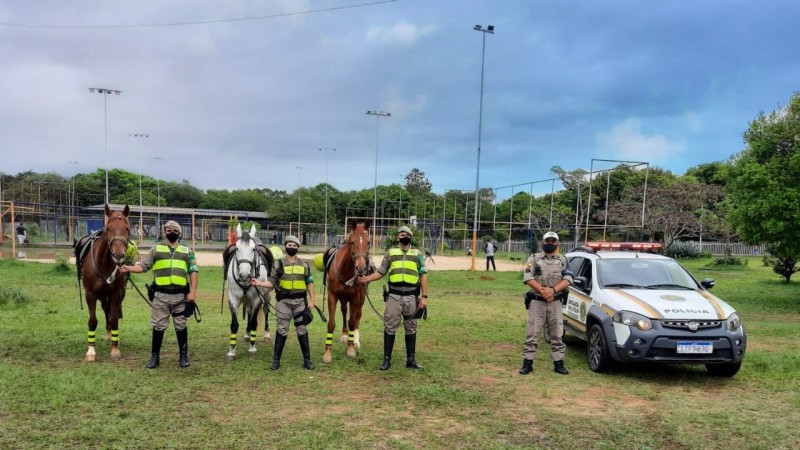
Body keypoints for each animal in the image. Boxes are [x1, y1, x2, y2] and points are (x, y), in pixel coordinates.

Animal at [76, 204, 131, 362]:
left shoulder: (116, 294)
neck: (104, 264)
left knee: (109, 311)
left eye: (127, 228)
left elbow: (114, 319)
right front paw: (91, 351)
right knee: (105, 309)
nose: (118, 255)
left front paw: (115, 349)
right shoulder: (90, 294)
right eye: (108, 229)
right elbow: (92, 321)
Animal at [227, 223, 274, 360]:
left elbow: (254, 322)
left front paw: (252, 349)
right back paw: (248, 334)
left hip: (267, 295)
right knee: (248, 311)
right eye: (237, 248)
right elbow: (234, 324)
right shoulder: (233, 298)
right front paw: (231, 351)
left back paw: (266, 334)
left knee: (266, 310)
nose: (244, 274)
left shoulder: (257, 299)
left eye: (253, 249)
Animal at [322, 218, 372, 362]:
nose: (361, 268)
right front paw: (327, 353)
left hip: (361, 297)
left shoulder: (355, 297)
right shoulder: (332, 295)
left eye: (368, 242)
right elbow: (331, 323)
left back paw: (355, 339)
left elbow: (352, 321)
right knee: (344, 311)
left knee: (357, 316)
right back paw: (345, 335)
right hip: (344, 297)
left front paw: (351, 349)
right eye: (352, 242)